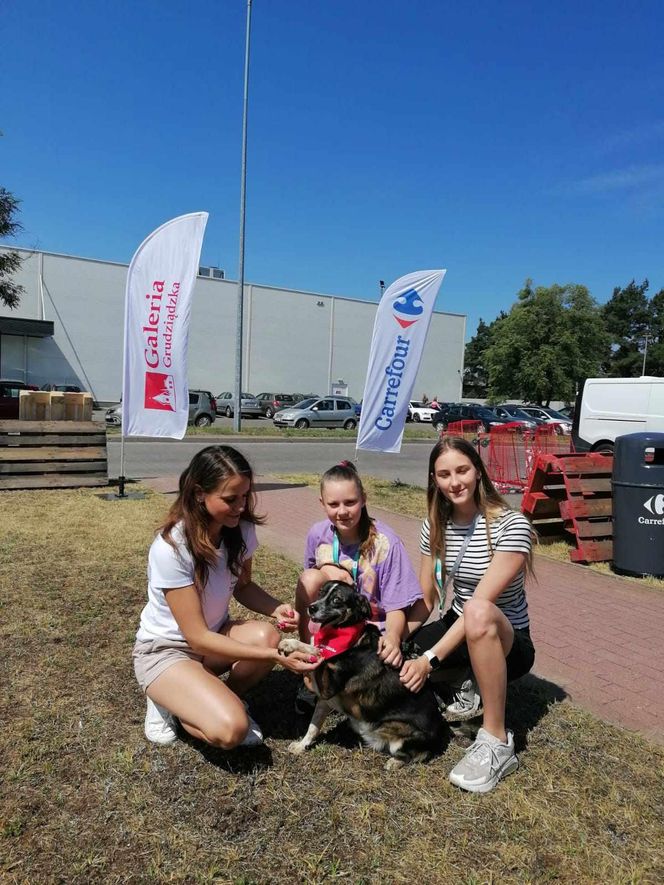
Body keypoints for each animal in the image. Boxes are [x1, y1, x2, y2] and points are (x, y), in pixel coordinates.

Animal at [278, 580, 444, 768]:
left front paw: (291, 644)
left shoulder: (327, 687)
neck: (347, 634)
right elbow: (313, 726)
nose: (311, 608)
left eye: (337, 600)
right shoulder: (325, 700)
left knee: (415, 755)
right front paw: (301, 746)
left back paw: (394, 762)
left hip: (404, 738)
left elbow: (318, 653)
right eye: (320, 592)